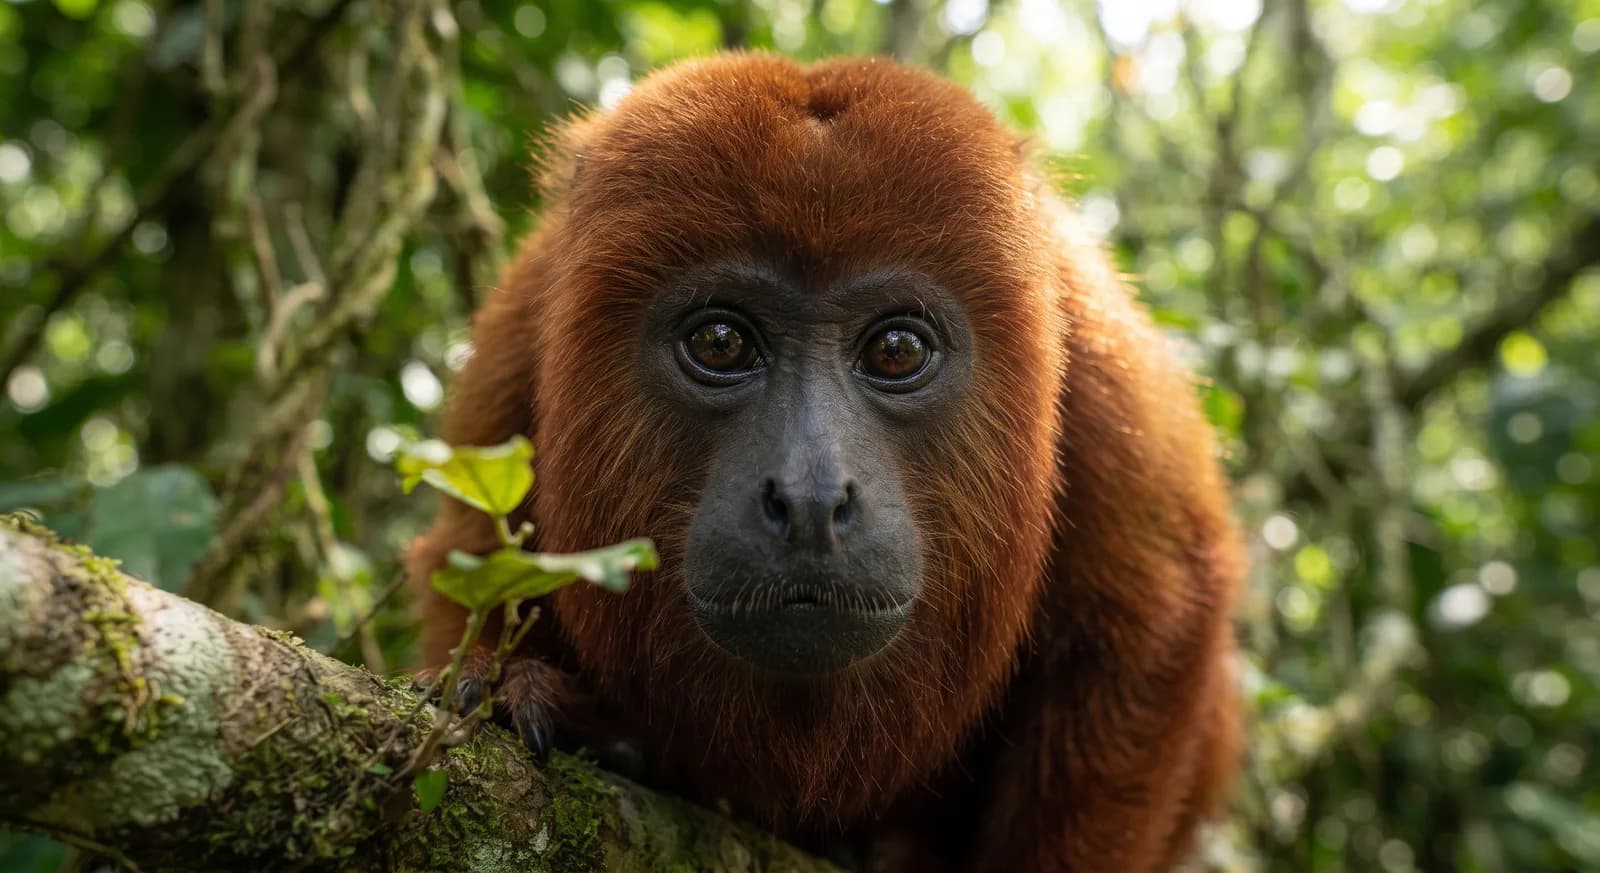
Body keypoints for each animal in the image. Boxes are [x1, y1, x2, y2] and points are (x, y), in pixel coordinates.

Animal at [409, 53, 1244, 873]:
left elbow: (1151, 617)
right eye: (720, 342)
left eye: (896, 349)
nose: (810, 498)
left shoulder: (1104, 364)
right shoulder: (523, 324)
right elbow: (469, 548)